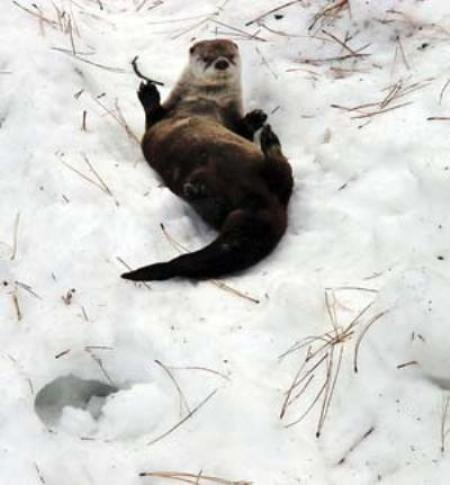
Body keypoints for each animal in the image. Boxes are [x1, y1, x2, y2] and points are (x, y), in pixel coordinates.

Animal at [121, 39, 294, 282]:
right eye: (207, 57)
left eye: (230, 55)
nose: (221, 63)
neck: (205, 101)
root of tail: (262, 206)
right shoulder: (161, 120)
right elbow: (152, 116)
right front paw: (148, 92)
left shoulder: (232, 119)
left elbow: (243, 131)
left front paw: (255, 118)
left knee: (281, 176)